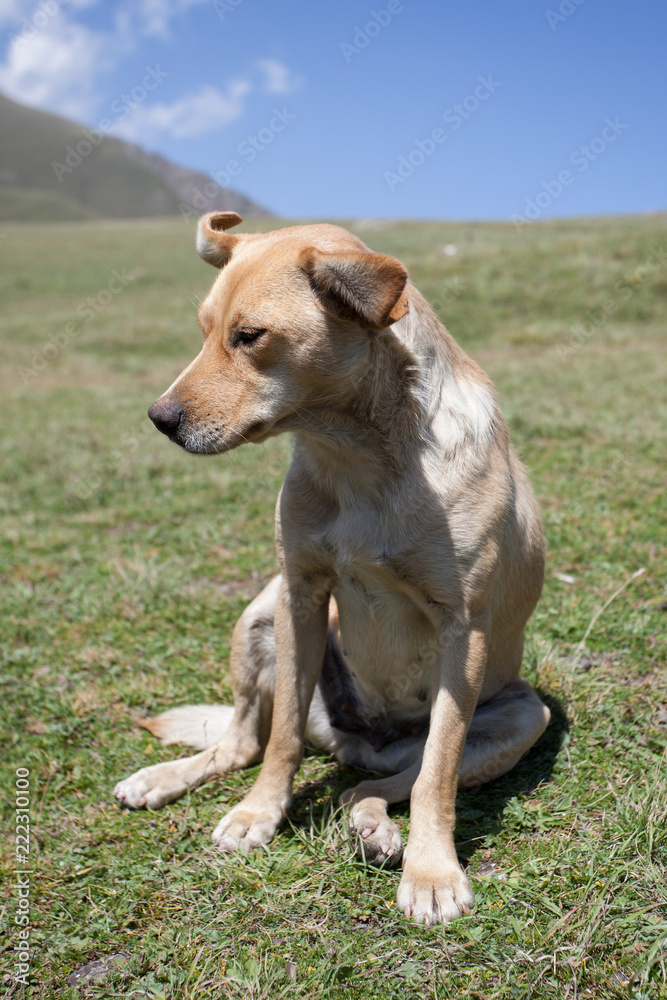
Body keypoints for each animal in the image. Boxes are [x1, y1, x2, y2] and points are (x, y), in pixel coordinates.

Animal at [115, 213, 552, 928]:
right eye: (204, 329)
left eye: (249, 336)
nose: (159, 419)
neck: (358, 459)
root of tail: (361, 743)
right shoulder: (301, 593)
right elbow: (281, 739)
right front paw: (259, 815)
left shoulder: (463, 627)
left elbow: (435, 777)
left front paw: (432, 874)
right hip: (259, 615)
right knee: (242, 741)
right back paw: (164, 777)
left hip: (521, 716)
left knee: (386, 782)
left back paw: (375, 828)